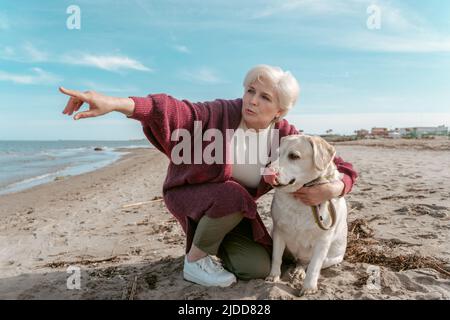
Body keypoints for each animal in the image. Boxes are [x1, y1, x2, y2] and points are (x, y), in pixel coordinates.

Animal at [264, 134, 348, 296]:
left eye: (294, 156)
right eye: (277, 154)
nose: (267, 174)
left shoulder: (323, 239)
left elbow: (314, 266)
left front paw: (309, 287)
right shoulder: (278, 231)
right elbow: (276, 256)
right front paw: (273, 276)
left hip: (332, 258)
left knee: (308, 264)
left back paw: (300, 272)